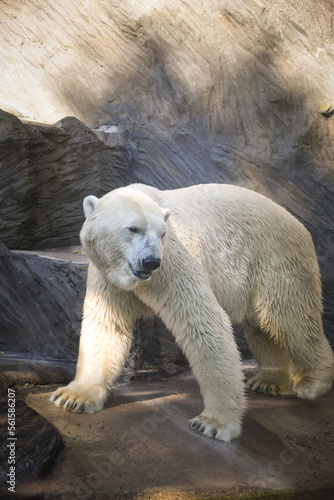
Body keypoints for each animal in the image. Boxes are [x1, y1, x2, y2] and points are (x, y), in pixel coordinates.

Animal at [50, 184, 334, 442]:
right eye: (132, 229)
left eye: (162, 233)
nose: (150, 261)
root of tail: (295, 221)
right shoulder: (107, 275)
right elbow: (106, 325)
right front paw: (73, 397)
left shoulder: (172, 263)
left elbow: (202, 322)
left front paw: (213, 423)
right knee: (263, 326)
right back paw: (269, 381)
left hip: (276, 258)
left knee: (289, 317)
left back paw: (312, 382)